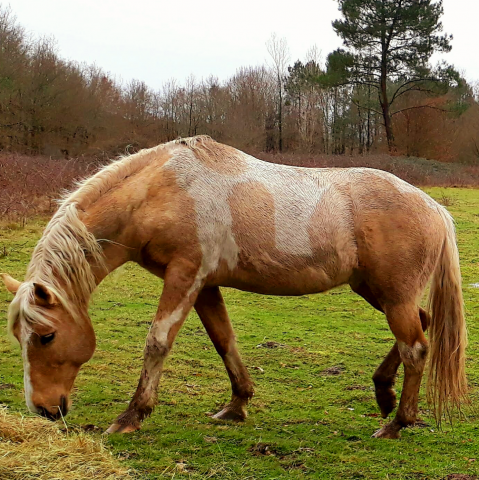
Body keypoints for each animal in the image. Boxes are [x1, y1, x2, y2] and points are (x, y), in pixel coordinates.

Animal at [1, 135, 468, 438]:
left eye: (46, 336)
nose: (44, 409)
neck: (160, 190)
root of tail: (433, 207)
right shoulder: (204, 285)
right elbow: (223, 340)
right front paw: (237, 405)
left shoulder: (185, 276)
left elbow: (157, 342)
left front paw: (132, 416)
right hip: (378, 293)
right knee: (421, 325)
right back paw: (383, 393)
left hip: (392, 297)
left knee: (416, 348)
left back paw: (398, 422)